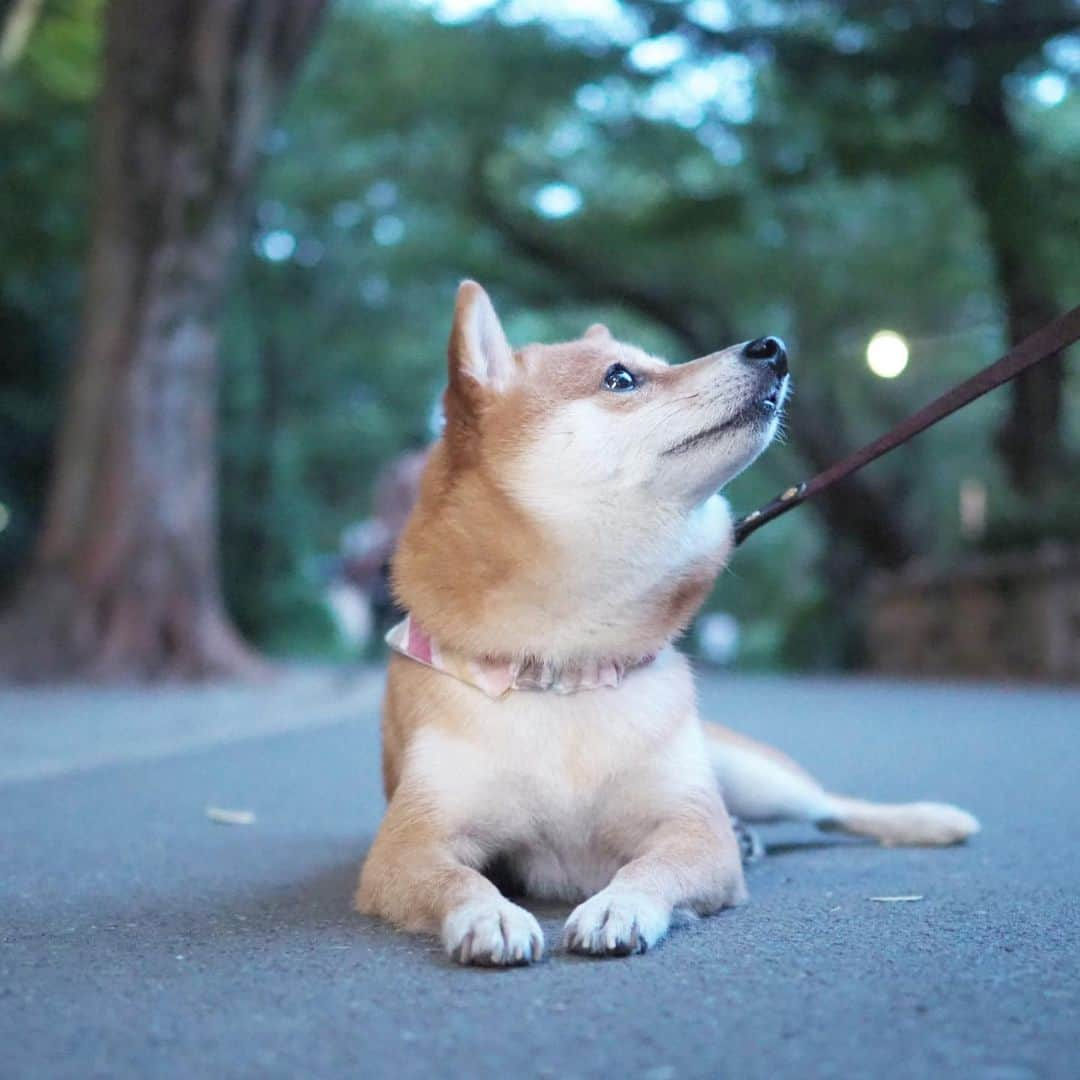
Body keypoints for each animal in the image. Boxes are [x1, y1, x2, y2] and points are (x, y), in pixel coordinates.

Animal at [354, 282, 980, 967]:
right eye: (621, 377)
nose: (772, 348)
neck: (565, 669)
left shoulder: (692, 828)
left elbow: (652, 868)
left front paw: (619, 907)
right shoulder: (410, 844)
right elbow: (457, 878)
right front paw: (490, 914)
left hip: (750, 775)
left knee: (830, 806)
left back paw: (929, 820)